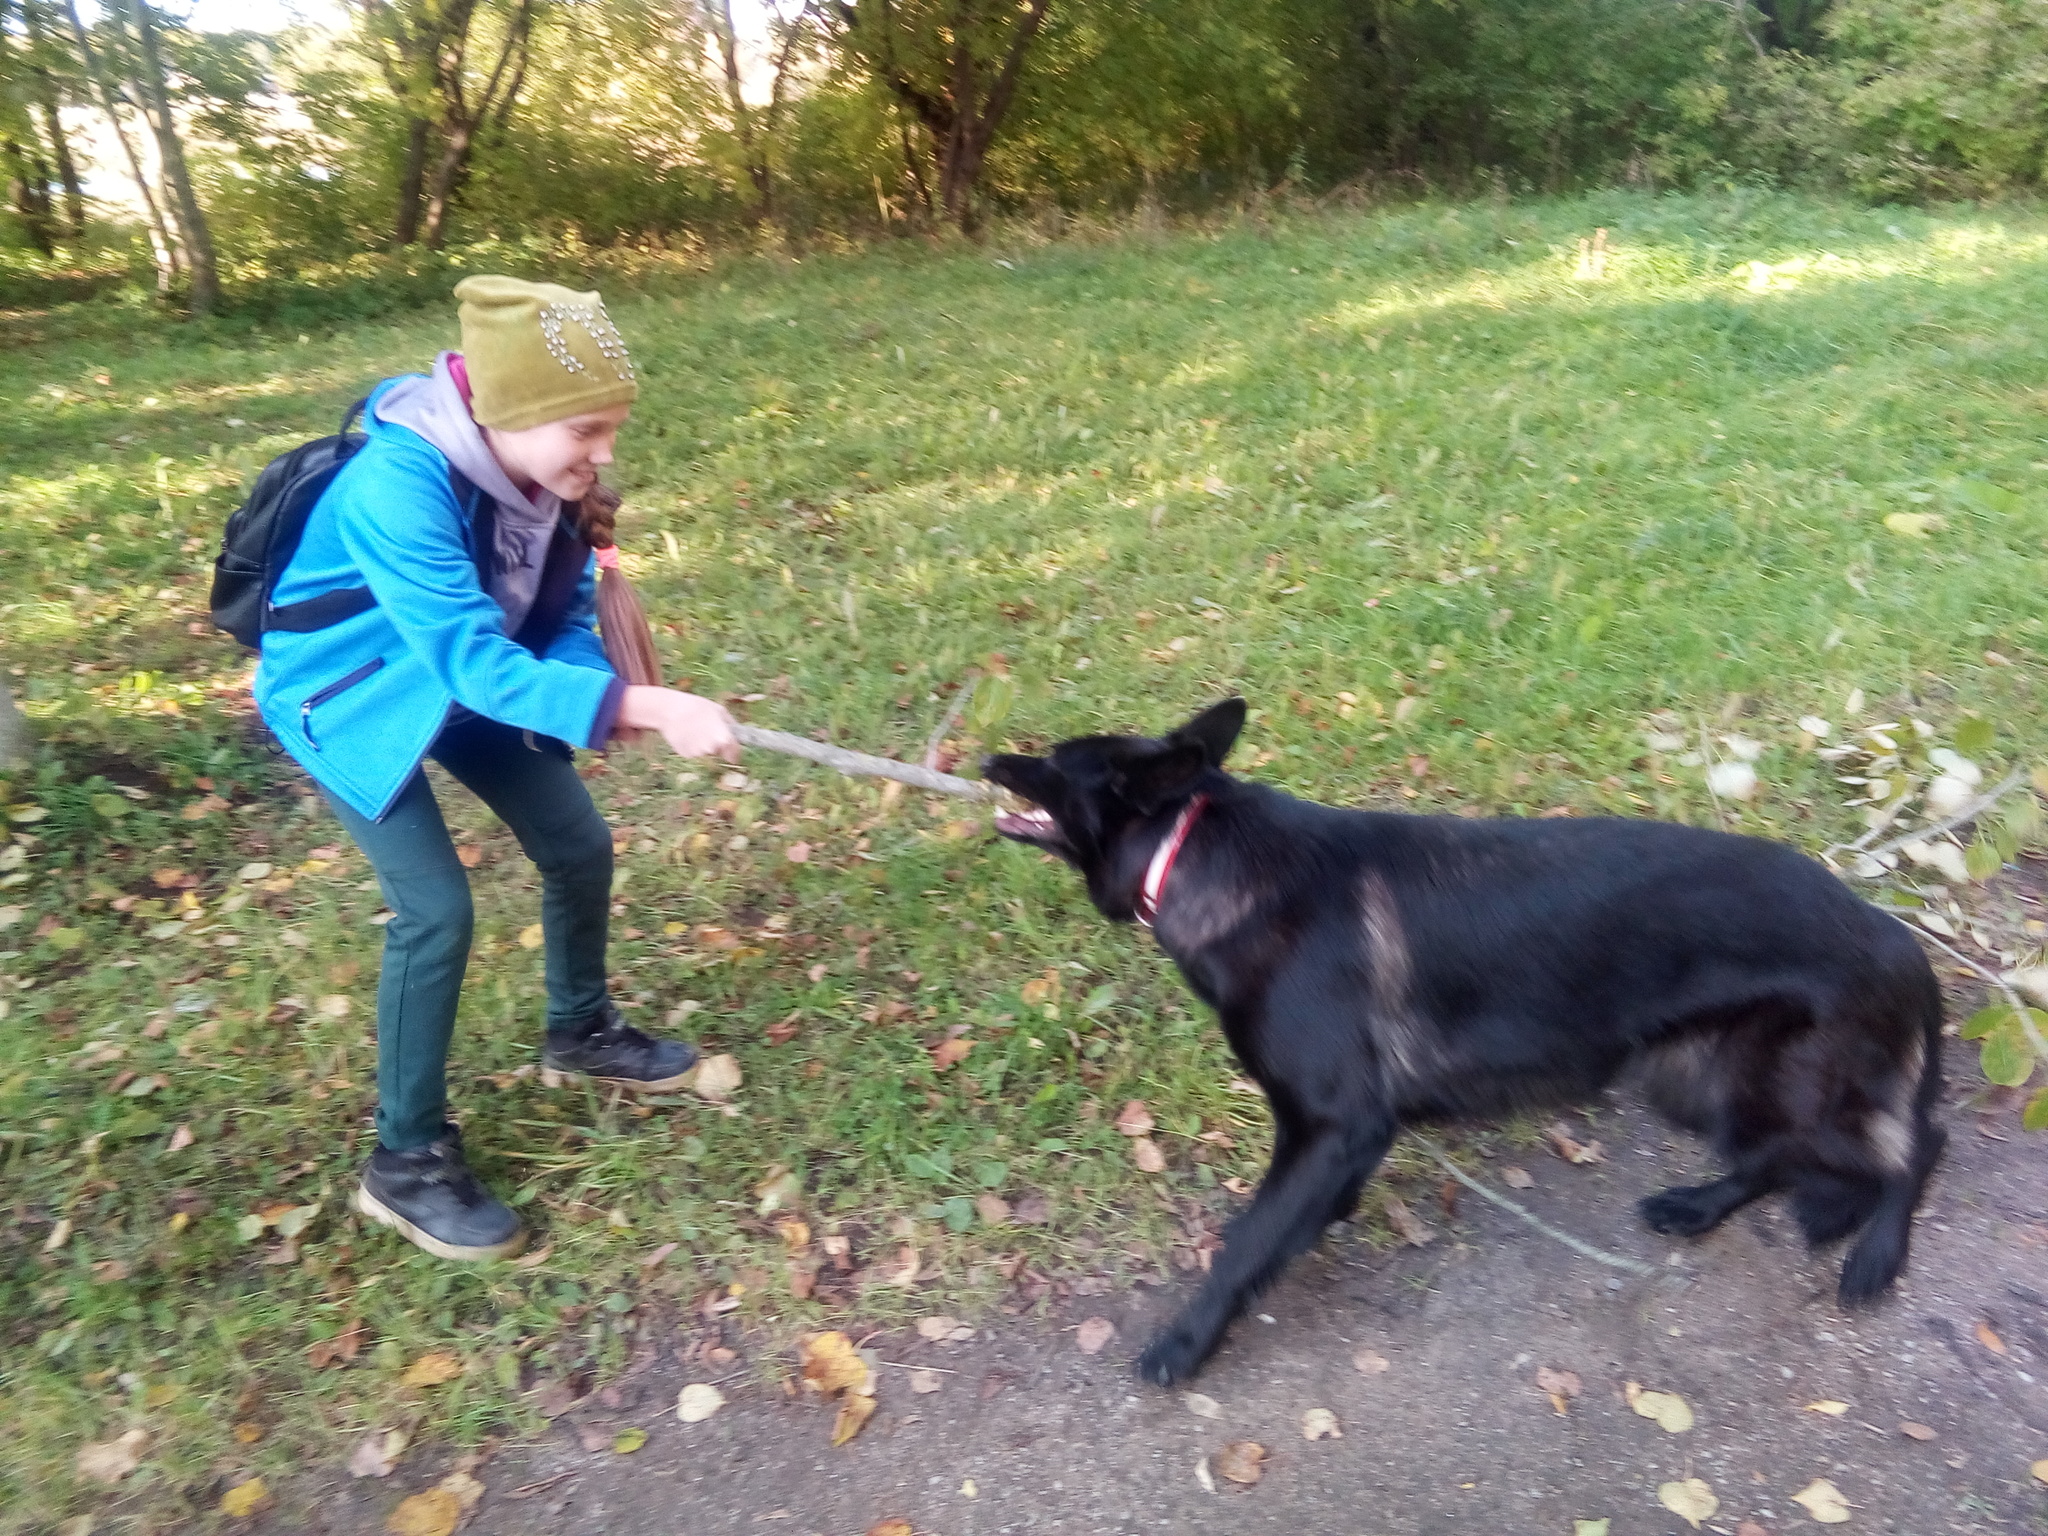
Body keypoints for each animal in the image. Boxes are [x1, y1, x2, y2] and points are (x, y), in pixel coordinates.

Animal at [983, 704, 1941, 1392]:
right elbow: (1287, 1218)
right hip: (1697, 1080)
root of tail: (1891, 933)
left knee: (1914, 1145)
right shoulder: (1338, 1138)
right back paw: (1700, 1206)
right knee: (1785, 1157)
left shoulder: (1335, 1124)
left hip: (1777, 1086)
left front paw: (1187, 1341)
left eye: (1054, 761)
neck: (1198, 847)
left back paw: (1877, 1254)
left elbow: (1246, 1246)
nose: (991, 759)